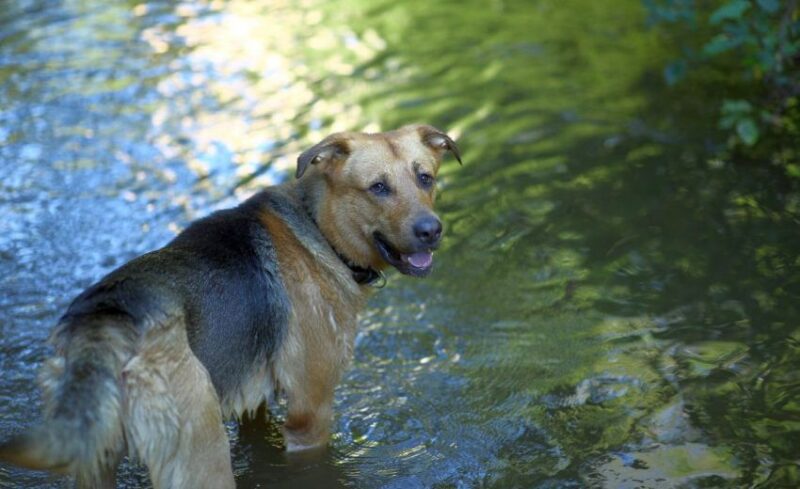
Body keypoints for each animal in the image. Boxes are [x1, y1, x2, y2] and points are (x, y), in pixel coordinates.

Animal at [0, 125, 460, 488]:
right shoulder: (310, 412)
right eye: (378, 187)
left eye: (425, 178)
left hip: (96, 461)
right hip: (201, 455)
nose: (431, 231)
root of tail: (110, 317)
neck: (319, 228)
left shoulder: (252, 399)